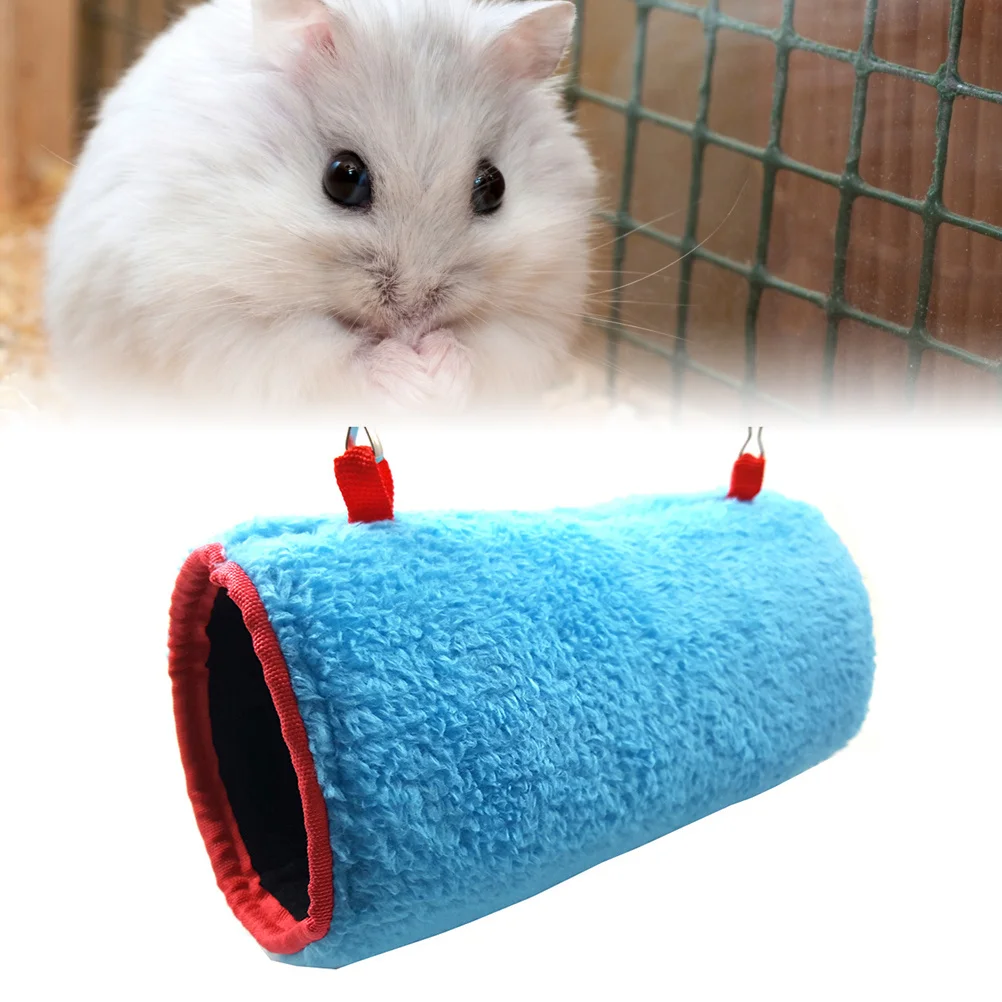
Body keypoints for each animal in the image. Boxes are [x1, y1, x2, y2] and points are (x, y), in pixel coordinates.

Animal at [43, 0, 598, 415]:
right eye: (343, 178)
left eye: (493, 187)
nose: (413, 322)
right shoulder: (218, 323)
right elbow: (330, 358)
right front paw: (408, 374)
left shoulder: (539, 317)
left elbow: (485, 349)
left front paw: (436, 371)